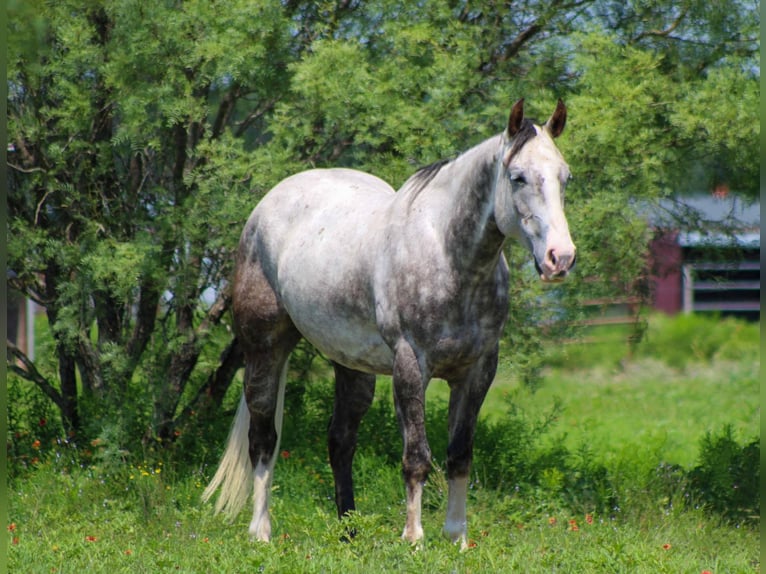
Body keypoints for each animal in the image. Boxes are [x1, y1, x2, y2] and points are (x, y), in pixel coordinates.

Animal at [202, 98, 576, 548]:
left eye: (565, 177)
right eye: (517, 177)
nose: (560, 258)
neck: (449, 257)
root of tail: (265, 208)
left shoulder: (478, 370)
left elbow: (459, 455)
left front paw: (457, 538)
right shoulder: (411, 366)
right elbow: (417, 456)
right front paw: (413, 539)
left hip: (350, 365)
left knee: (340, 441)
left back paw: (349, 533)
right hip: (264, 349)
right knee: (263, 439)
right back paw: (260, 532)